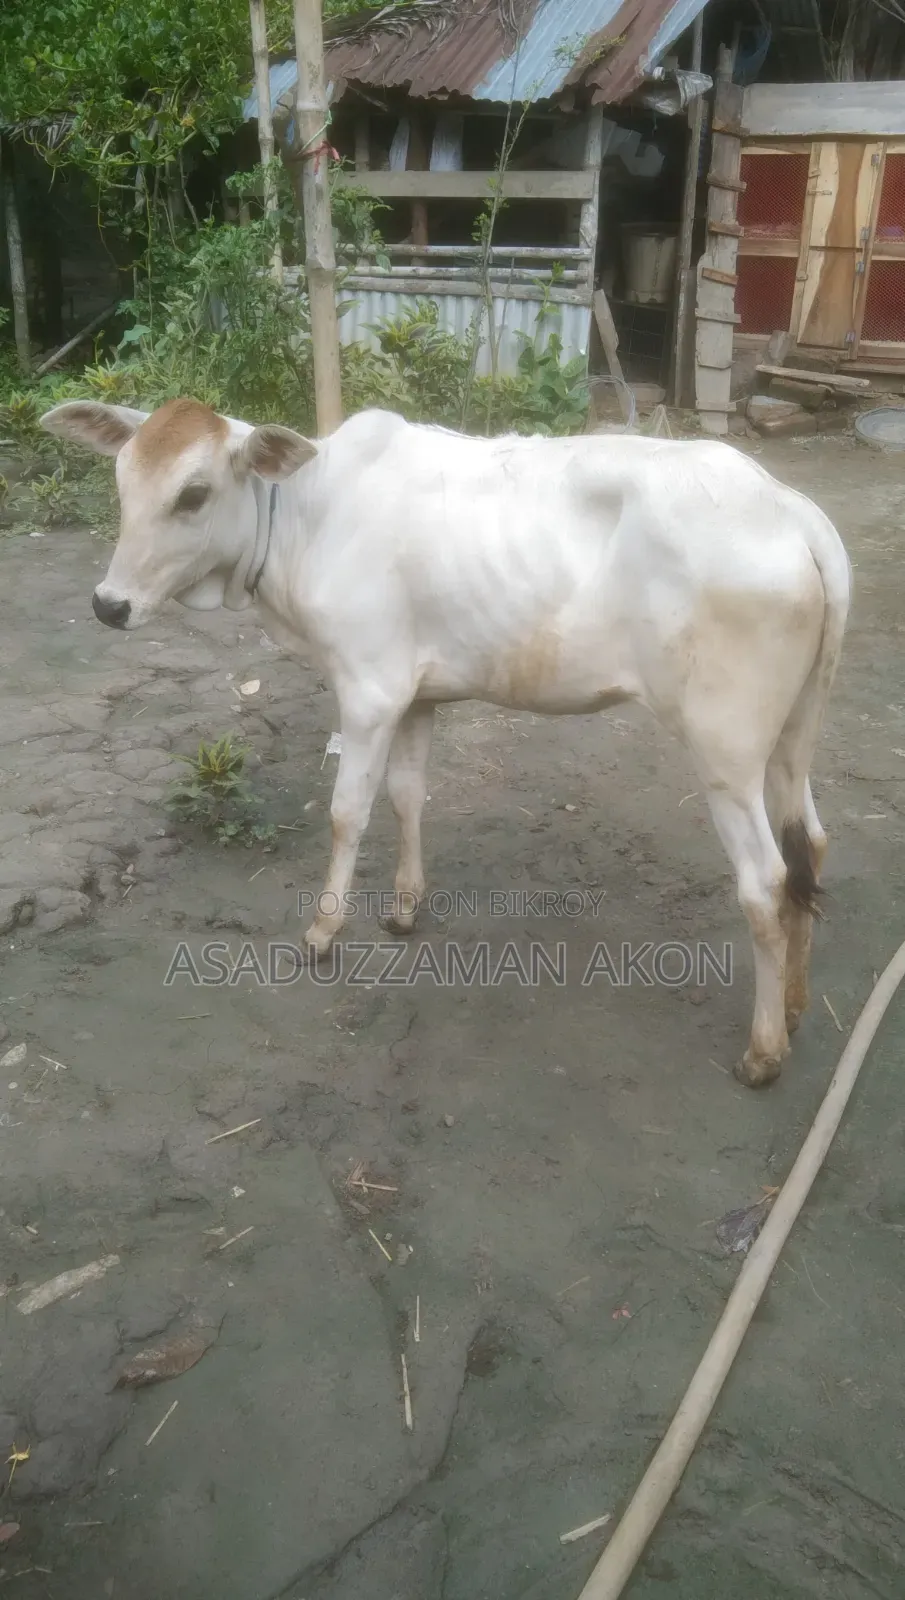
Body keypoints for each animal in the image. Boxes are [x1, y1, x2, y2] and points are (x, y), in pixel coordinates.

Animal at [40, 398, 850, 1088]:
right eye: (123, 482)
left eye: (194, 494)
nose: (109, 605)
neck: (305, 513)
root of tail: (790, 508)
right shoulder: (414, 696)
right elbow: (407, 797)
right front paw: (404, 909)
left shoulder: (367, 691)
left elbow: (347, 812)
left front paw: (323, 931)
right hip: (790, 736)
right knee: (808, 846)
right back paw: (797, 1006)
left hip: (724, 753)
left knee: (764, 881)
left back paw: (763, 1052)